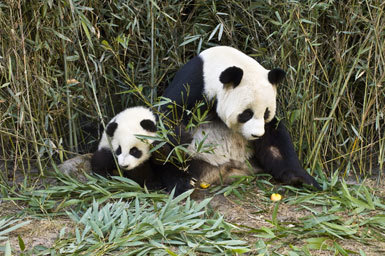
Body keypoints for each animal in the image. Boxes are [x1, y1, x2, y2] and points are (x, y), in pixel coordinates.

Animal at [158, 46, 320, 192]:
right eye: (247, 114)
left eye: (266, 113)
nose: (256, 135)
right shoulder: (192, 85)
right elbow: (167, 121)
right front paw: (181, 138)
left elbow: (275, 140)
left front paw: (301, 178)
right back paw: (182, 183)